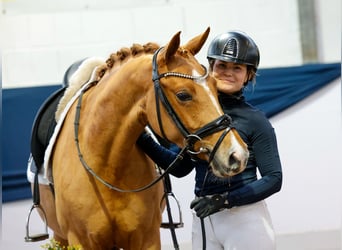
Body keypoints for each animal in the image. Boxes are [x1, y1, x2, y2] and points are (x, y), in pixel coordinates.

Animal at [36, 28, 248, 249]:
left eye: (215, 87)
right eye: (183, 95)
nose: (237, 155)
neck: (107, 167)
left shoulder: (147, 238)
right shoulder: (80, 241)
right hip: (60, 237)